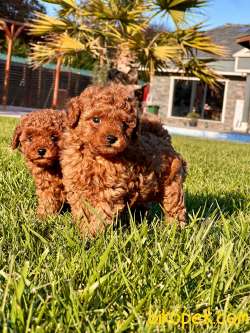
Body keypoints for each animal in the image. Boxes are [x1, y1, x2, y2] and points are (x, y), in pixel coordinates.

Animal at [61, 81, 187, 235]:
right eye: (96, 119)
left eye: (124, 124)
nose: (112, 138)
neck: (96, 157)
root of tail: (164, 139)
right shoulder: (76, 188)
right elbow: (82, 212)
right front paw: (84, 232)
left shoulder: (110, 191)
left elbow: (101, 214)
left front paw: (92, 234)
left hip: (172, 184)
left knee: (175, 208)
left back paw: (175, 230)